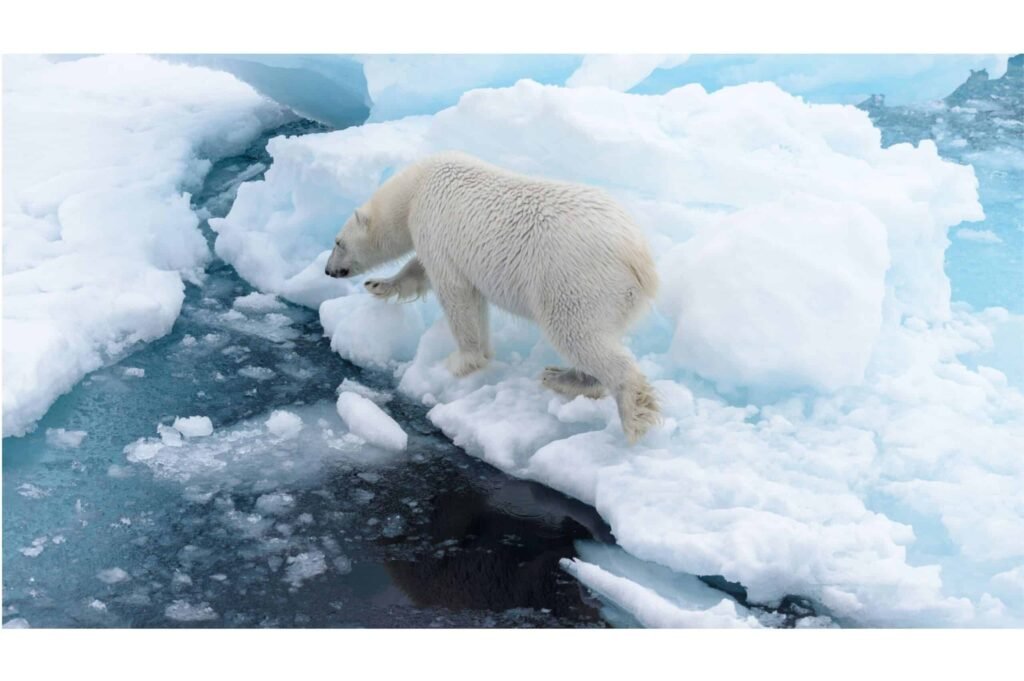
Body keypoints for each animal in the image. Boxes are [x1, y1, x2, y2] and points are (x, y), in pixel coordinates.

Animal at [325, 152, 660, 443]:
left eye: (338, 242)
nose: (329, 271)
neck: (414, 189)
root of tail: (639, 258)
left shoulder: (435, 227)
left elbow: (455, 293)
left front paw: (462, 361)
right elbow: (421, 271)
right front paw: (379, 284)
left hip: (575, 279)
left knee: (577, 333)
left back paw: (632, 413)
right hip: (613, 296)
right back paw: (561, 376)